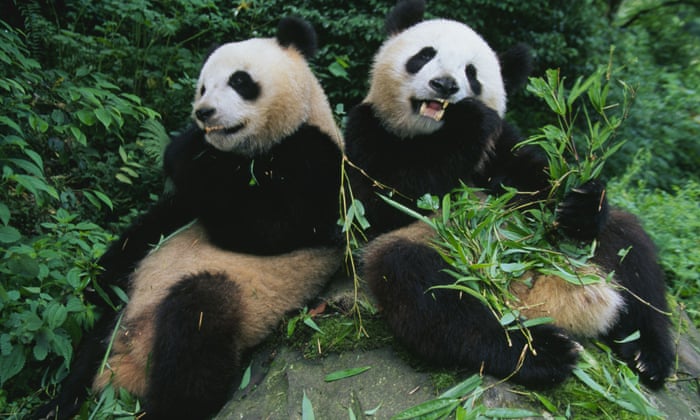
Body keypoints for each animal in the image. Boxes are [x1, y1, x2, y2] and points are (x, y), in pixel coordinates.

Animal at [36, 17, 344, 420]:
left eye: (240, 80)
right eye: (202, 87)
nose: (204, 113)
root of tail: (124, 368)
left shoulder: (316, 161)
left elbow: (266, 227)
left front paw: (187, 150)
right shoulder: (180, 208)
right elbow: (152, 224)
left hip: (239, 305)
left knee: (196, 326)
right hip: (124, 307)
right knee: (95, 338)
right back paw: (58, 399)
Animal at [345, 0, 673, 390]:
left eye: (471, 72)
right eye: (425, 55)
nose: (445, 85)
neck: (429, 135)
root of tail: (534, 299)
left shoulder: (502, 143)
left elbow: (534, 179)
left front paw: (581, 203)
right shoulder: (366, 133)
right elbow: (386, 199)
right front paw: (466, 121)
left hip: (589, 253)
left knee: (633, 255)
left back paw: (647, 356)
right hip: (433, 253)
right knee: (429, 291)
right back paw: (544, 352)